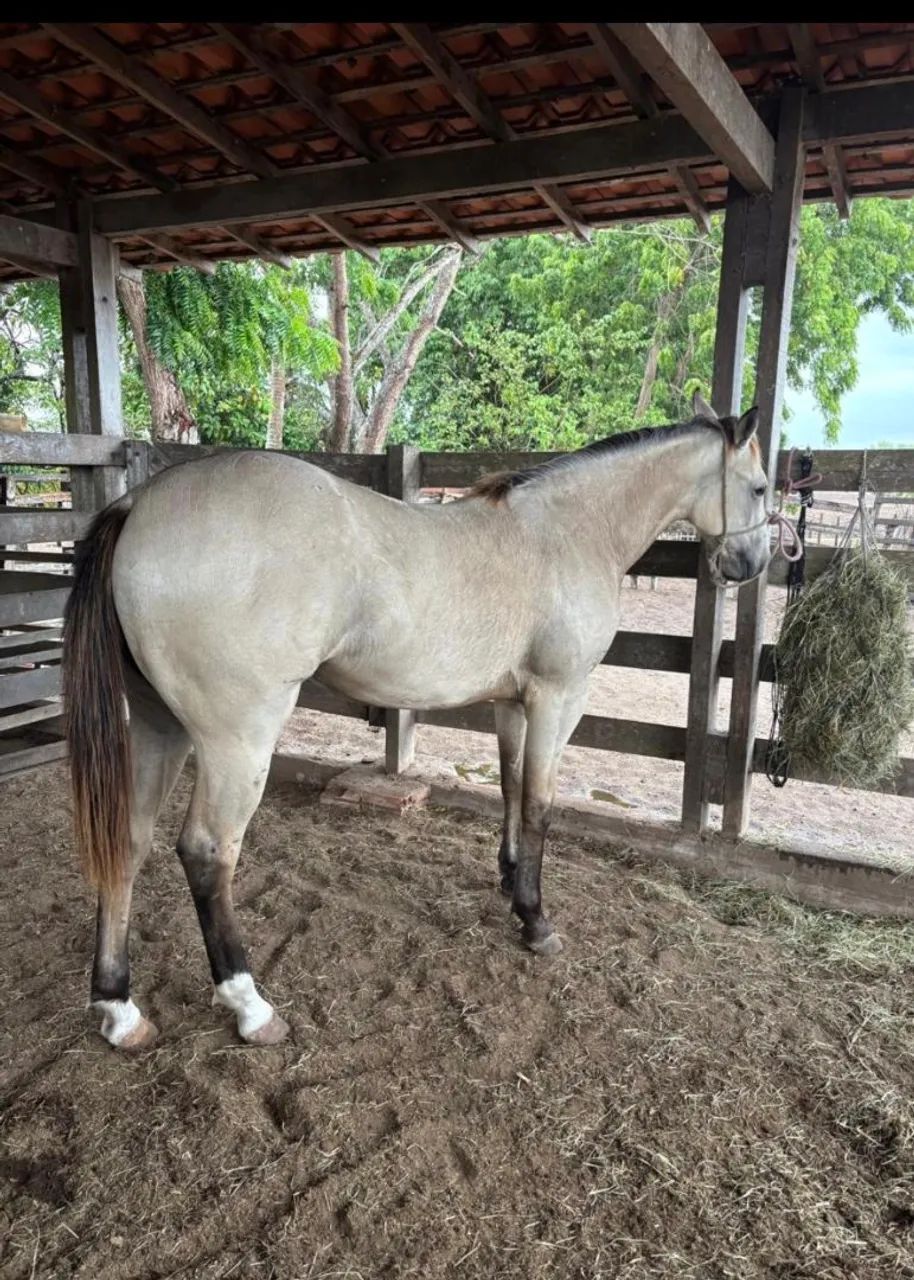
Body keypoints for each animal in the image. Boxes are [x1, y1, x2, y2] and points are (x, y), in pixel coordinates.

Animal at [62, 392, 771, 1050]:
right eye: (762, 487)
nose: (755, 562)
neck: (565, 532)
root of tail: (142, 504)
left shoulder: (511, 701)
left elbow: (511, 787)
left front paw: (510, 881)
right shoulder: (558, 696)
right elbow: (540, 804)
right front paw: (537, 921)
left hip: (158, 727)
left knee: (128, 841)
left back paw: (118, 1007)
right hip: (237, 740)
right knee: (208, 852)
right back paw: (249, 1005)